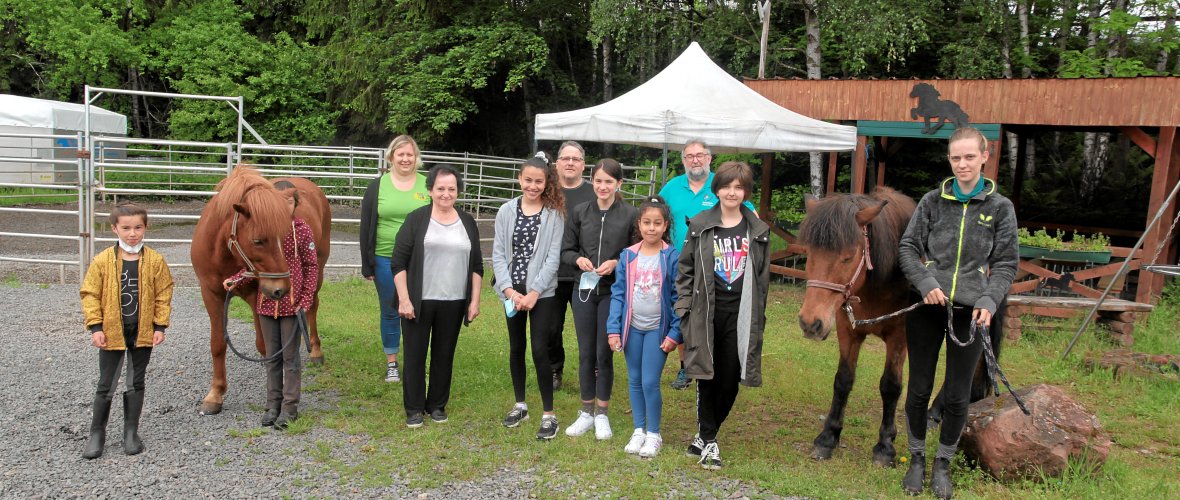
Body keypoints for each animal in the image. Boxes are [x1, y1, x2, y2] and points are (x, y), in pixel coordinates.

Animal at [191, 166, 332, 415]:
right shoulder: (211, 294)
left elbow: (264, 344)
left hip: (317, 272)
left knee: (312, 306)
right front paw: (215, 394)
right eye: (257, 241)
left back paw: (315, 351)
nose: (281, 289)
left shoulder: (257, 296)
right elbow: (217, 344)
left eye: (285, 236)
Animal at [797, 186, 1000, 464]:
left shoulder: (899, 338)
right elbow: (843, 381)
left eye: (848, 257)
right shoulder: (847, 329)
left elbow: (890, 386)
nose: (810, 323)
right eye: (808, 253)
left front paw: (885, 445)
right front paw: (828, 437)